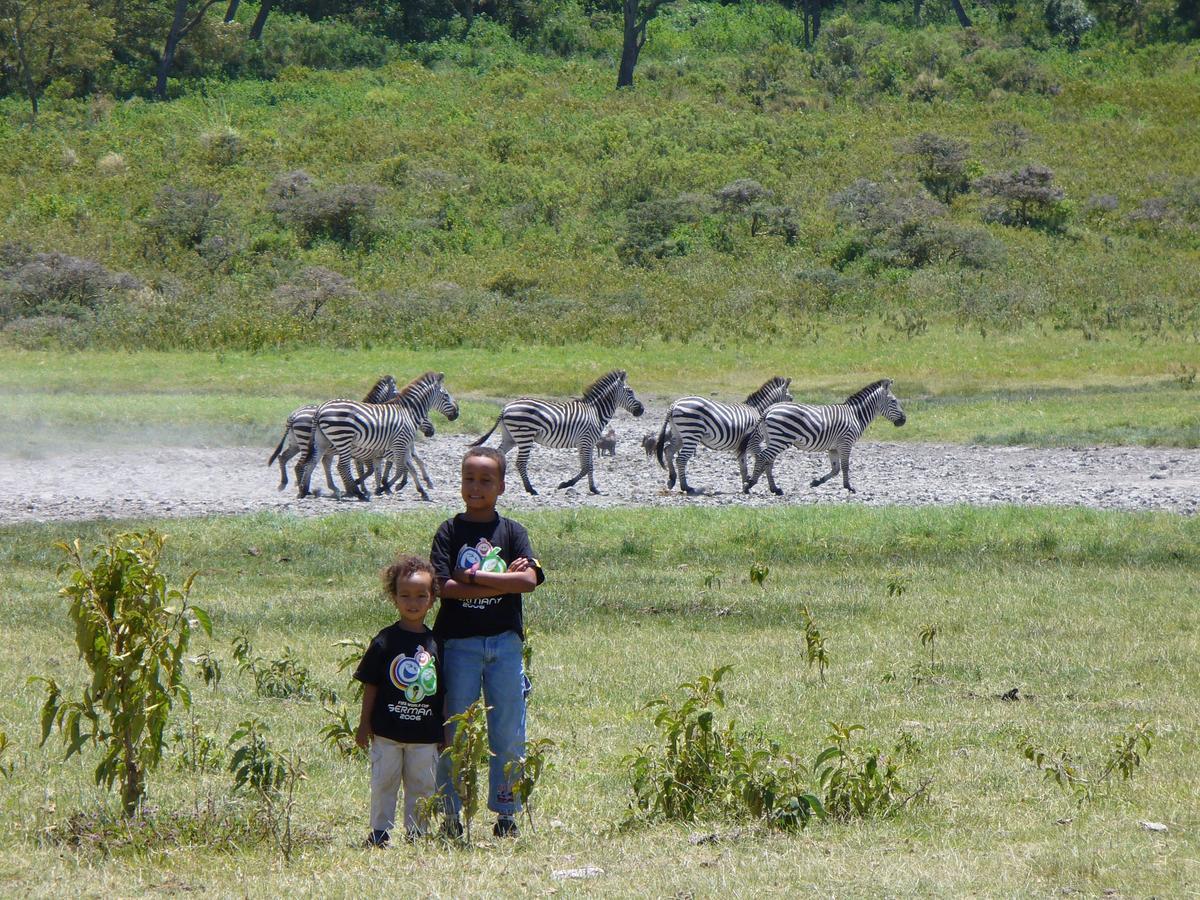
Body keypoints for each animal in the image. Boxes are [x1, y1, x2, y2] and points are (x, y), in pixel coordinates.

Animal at [300, 369, 458, 504]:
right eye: (446, 395)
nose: (457, 414)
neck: (408, 412)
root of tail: (321, 408)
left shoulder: (403, 445)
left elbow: (410, 467)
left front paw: (422, 491)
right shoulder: (398, 444)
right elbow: (400, 469)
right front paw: (383, 488)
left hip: (322, 441)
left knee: (313, 462)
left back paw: (304, 490)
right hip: (343, 438)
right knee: (342, 466)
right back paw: (358, 494)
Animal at [470, 369, 648, 496]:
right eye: (630, 391)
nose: (641, 410)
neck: (596, 412)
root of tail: (506, 407)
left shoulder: (585, 443)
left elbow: (587, 466)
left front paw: (589, 487)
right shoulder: (587, 440)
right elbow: (587, 467)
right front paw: (573, 485)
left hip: (510, 438)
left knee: (498, 455)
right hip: (525, 435)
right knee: (520, 463)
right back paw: (531, 489)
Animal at [652, 374, 792, 496]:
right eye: (791, 398)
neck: (758, 412)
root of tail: (674, 404)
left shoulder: (743, 446)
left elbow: (743, 466)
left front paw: (746, 486)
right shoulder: (753, 441)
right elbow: (765, 462)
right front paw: (773, 488)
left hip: (679, 435)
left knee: (668, 450)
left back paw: (672, 479)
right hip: (692, 433)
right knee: (681, 459)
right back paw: (686, 487)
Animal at [739, 376, 907, 496]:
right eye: (894, 401)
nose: (904, 420)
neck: (855, 415)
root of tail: (769, 409)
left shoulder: (833, 448)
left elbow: (836, 469)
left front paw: (816, 482)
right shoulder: (846, 442)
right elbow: (845, 466)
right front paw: (849, 487)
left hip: (773, 439)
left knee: (768, 460)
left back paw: (774, 489)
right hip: (781, 439)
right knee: (763, 457)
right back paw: (750, 485)